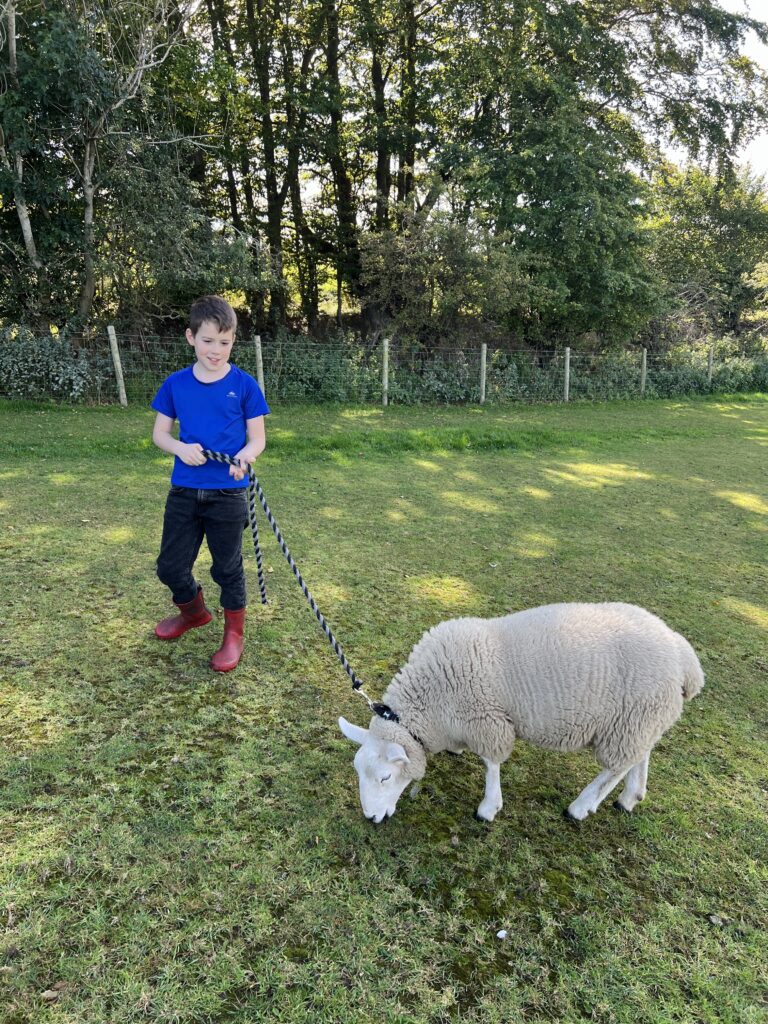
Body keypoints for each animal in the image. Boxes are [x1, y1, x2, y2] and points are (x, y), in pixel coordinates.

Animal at [339, 598, 708, 823]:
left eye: (385, 777)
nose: (370, 818)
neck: (433, 698)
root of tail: (683, 656)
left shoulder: (488, 720)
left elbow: (491, 764)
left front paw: (488, 808)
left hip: (631, 719)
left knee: (615, 767)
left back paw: (582, 806)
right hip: (640, 719)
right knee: (640, 754)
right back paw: (631, 797)